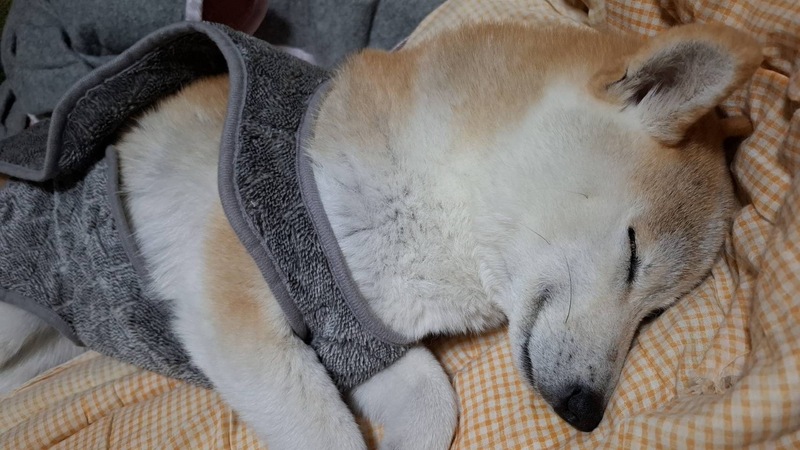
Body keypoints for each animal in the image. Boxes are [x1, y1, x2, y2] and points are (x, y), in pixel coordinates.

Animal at [0, 20, 761, 449]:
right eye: (634, 255)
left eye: (657, 312)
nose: (585, 412)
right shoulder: (236, 309)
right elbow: (325, 434)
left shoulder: (361, 341)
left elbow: (434, 408)